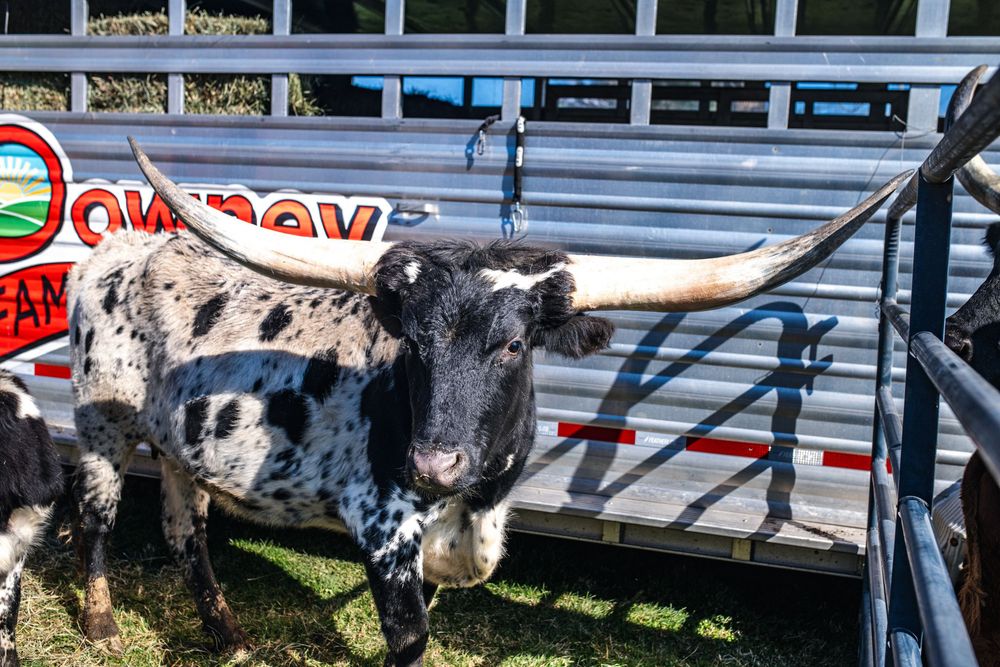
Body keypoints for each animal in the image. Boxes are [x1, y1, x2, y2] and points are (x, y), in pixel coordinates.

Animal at [65, 137, 908, 666]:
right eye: (413, 342)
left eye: (512, 345)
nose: (434, 464)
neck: (474, 501)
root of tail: (117, 247)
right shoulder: (384, 532)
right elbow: (409, 641)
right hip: (101, 420)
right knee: (96, 520)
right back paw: (103, 625)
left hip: (182, 447)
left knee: (187, 534)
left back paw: (228, 634)